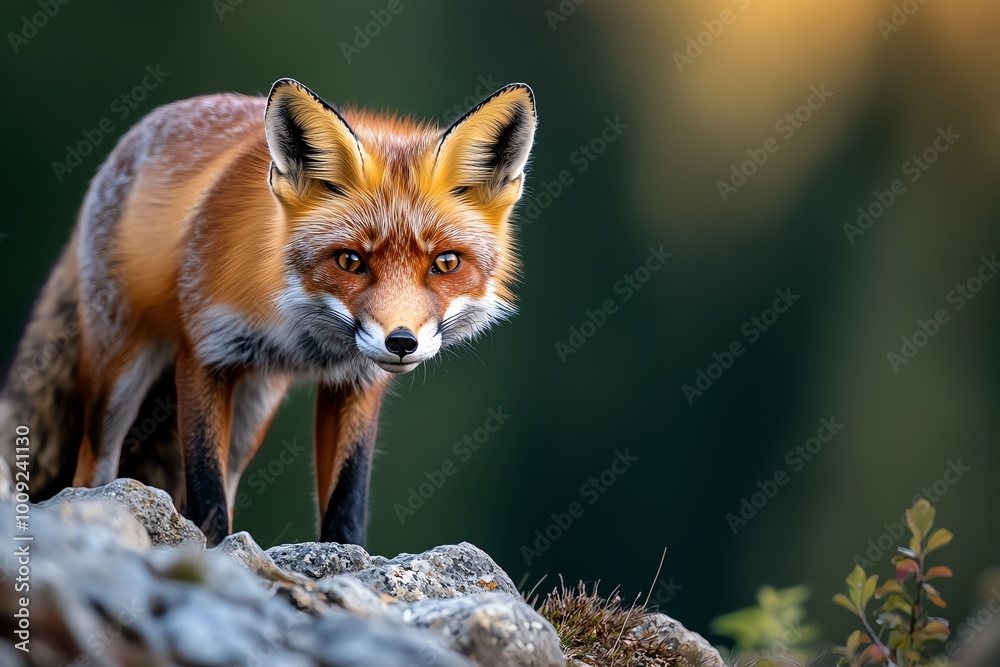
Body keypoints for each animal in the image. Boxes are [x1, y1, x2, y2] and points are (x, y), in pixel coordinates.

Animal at [0, 79, 536, 545]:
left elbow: (347, 500)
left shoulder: (357, 382)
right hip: (119, 376)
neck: (302, 329)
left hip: (252, 413)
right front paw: (211, 554)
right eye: (350, 261)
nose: (401, 342)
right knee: (93, 468)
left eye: (445, 263)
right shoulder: (205, 353)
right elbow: (206, 493)